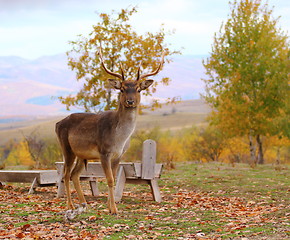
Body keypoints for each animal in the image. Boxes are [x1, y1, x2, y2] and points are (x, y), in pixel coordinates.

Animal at [55, 47, 164, 216]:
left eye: (138, 89)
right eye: (122, 89)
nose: (130, 101)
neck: (119, 139)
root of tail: (57, 123)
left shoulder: (118, 155)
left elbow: (113, 178)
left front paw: (109, 206)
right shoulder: (104, 151)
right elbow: (110, 179)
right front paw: (113, 209)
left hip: (82, 154)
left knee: (75, 174)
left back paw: (84, 204)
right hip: (66, 148)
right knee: (66, 175)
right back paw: (71, 206)